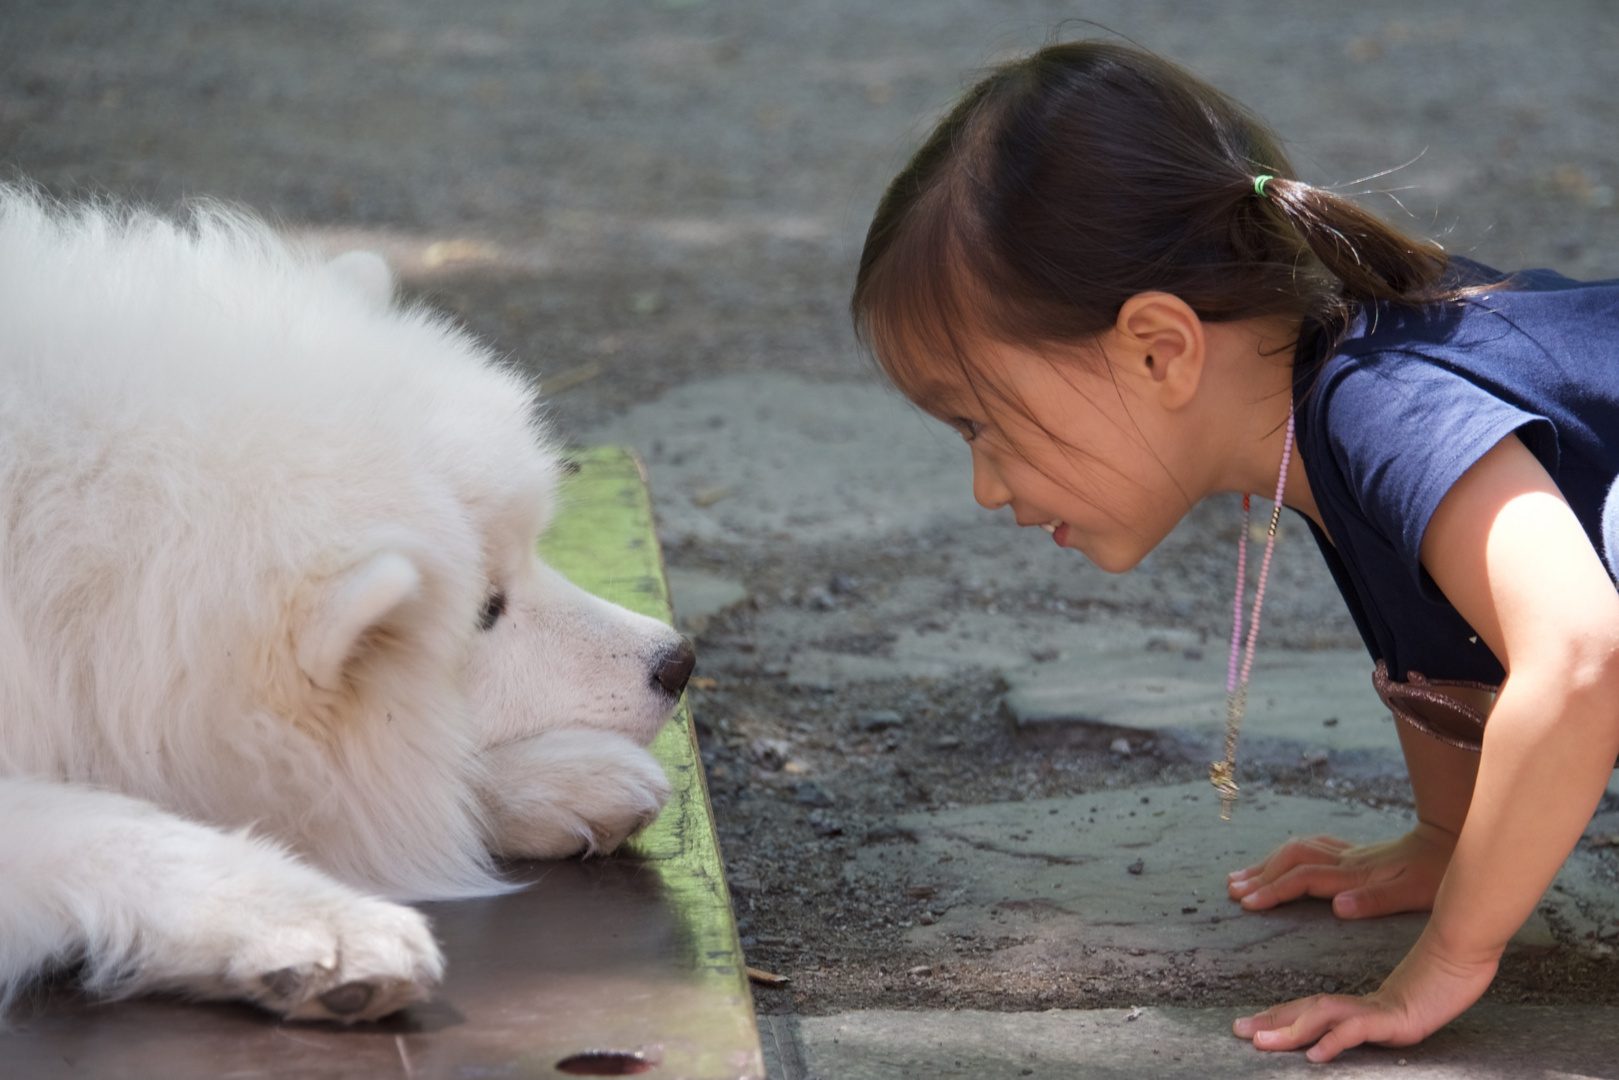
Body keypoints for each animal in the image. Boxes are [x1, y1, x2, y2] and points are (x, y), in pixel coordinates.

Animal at [0, 191, 689, 1023]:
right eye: (486, 610)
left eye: (530, 553)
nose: (678, 661)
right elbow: (109, 824)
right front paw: (312, 921)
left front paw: (563, 777)